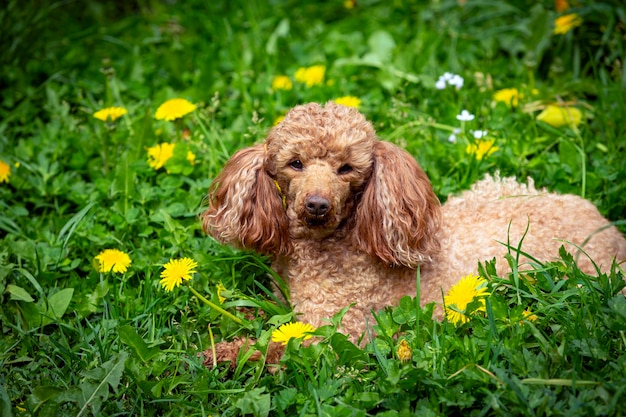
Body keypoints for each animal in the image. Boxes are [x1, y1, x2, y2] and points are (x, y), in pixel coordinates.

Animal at [201, 101, 624, 354]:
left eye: (346, 169)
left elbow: (272, 348)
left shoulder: (339, 331)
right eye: (295, 163)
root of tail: (604, 224)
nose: (317, 205)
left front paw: (217, 356)